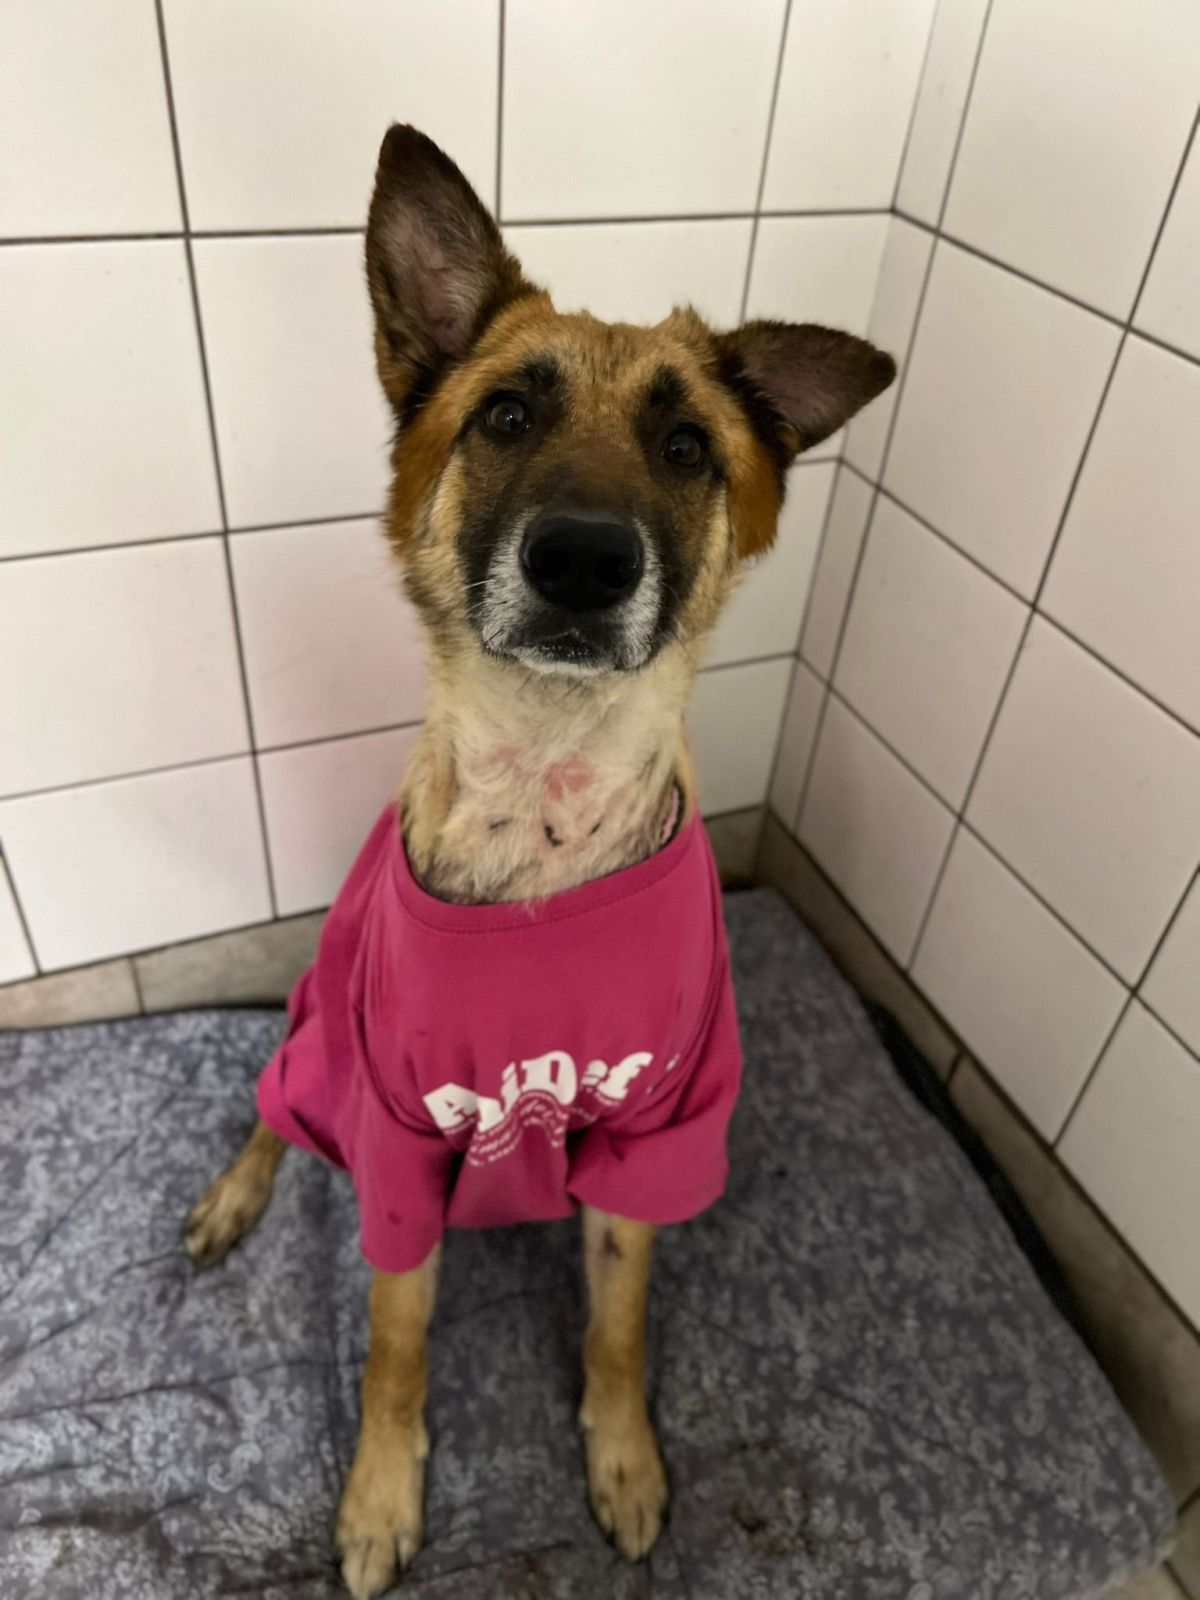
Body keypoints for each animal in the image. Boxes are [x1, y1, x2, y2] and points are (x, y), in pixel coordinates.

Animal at [183, 125, 894, 1599]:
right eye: (507, 414)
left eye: (686, 445)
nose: (581, 561)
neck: (543, 803)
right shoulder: (396, 1145)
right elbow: (396, 1347)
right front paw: (380, 1498)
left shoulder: (657, 1135)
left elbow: (619, 1322)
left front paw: (621, 1460)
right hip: (319, 1034)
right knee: (277, 1098)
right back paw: (234, 1195)